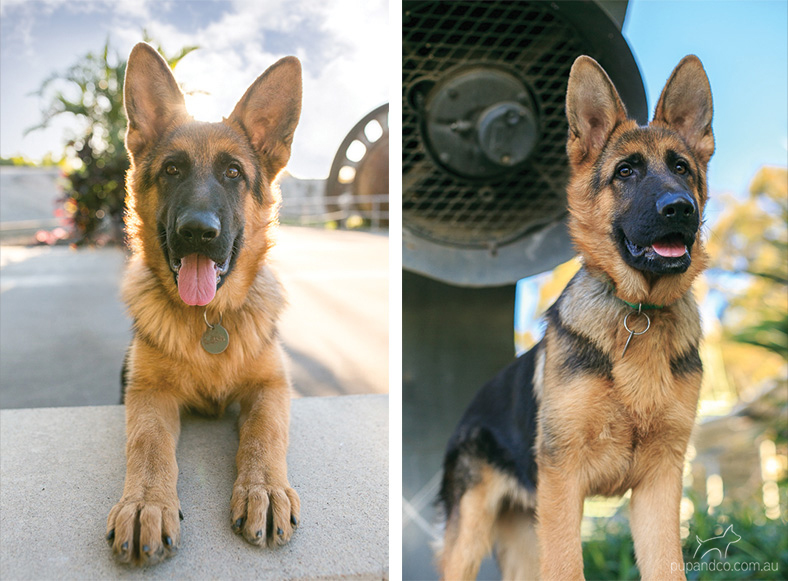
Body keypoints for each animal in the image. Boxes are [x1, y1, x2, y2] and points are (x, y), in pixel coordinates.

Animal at [104, 43, 302, 564]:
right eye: (172, 170)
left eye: (233, 173)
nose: (198, 231)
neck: (208, 319)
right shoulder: (148, 394)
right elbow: (148, 443)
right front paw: (146, 503)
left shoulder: (271, 387)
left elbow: (264, 435)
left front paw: (263, 489)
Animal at [438, 55, 716, 580]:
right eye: (625, 171)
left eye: (682, 168)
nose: (680, 208)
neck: (638, 313)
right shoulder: (564, 481)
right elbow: (568, 566)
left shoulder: (659, 485)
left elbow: (667, 565)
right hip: (471, 537)